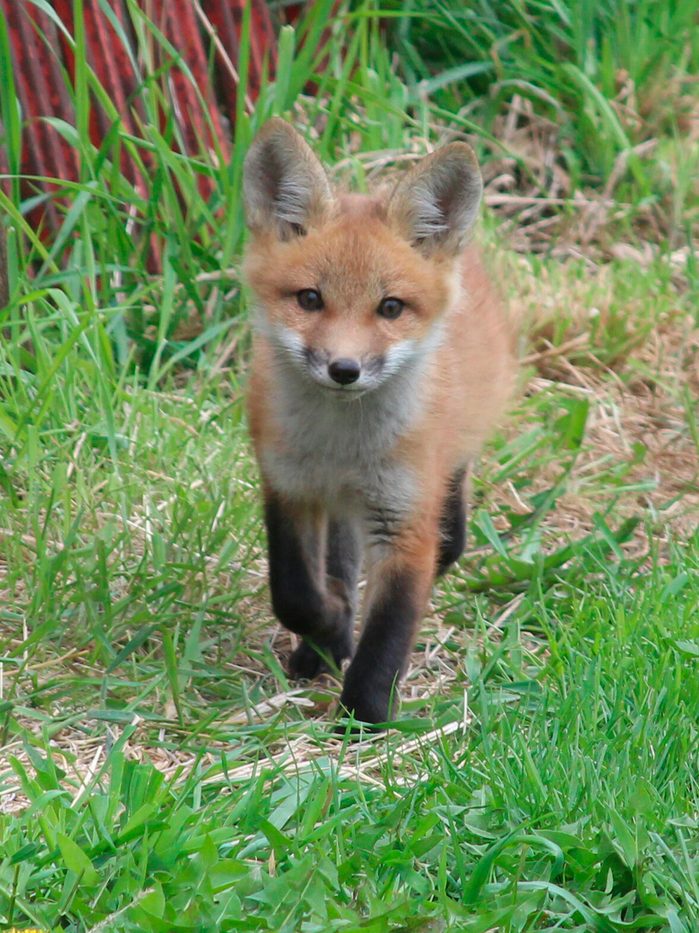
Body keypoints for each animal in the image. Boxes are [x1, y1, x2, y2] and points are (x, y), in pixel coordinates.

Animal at [242, 118, 515, 726]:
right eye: (310, 299)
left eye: (390, 308)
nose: (344, 370)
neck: (343, 447)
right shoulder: (289, 488)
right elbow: (295, 593)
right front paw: (328, 628)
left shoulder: (404, 517)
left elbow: (390, 626)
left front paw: (364, 716)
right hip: (339, 506)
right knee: (340, 562)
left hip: (446, 466)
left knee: (452, 523)